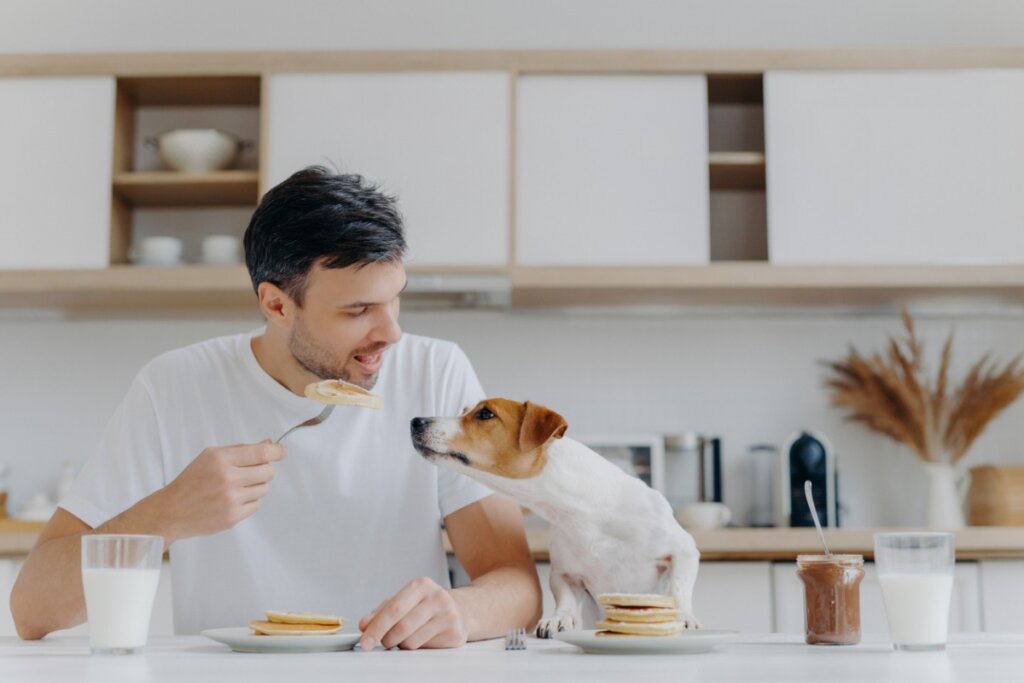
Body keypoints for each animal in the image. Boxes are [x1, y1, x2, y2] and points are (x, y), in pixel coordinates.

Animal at [411, 397, 700, 638]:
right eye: (464, 410)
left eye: (485, 414)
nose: (416, 421)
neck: (581, 512)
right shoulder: (565, 573)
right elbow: (565, 599)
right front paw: (559, 619)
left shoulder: (684, 550)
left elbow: (678, 587)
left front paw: (685, 617)